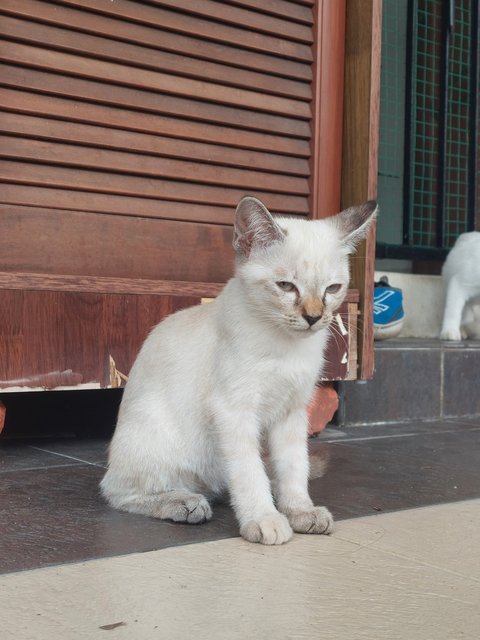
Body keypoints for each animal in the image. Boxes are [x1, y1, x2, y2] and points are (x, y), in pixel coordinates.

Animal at [100, 196, 378, 544]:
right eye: (286, 286)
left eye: (332, 288)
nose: (314, 317)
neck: (286, 346)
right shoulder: (234, 410)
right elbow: (249, 472)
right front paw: (264, 520)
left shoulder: (292, 411)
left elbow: (293, 467)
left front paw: (299, 511)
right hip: (156, 436)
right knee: (118, 491)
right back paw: (185, 503)